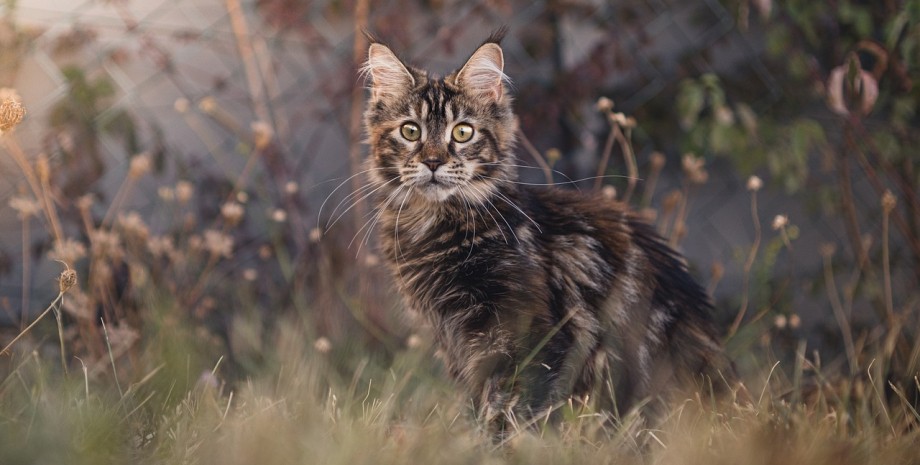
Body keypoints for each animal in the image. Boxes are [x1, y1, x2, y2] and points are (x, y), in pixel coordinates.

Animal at [362, 31, 740, 436]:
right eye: (410, 131)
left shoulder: (530, 333)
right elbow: (481, 402)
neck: (436, 227)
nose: (433, 162)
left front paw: (501, 442)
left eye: (462, 133)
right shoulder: (456, 340)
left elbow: (511, 406)